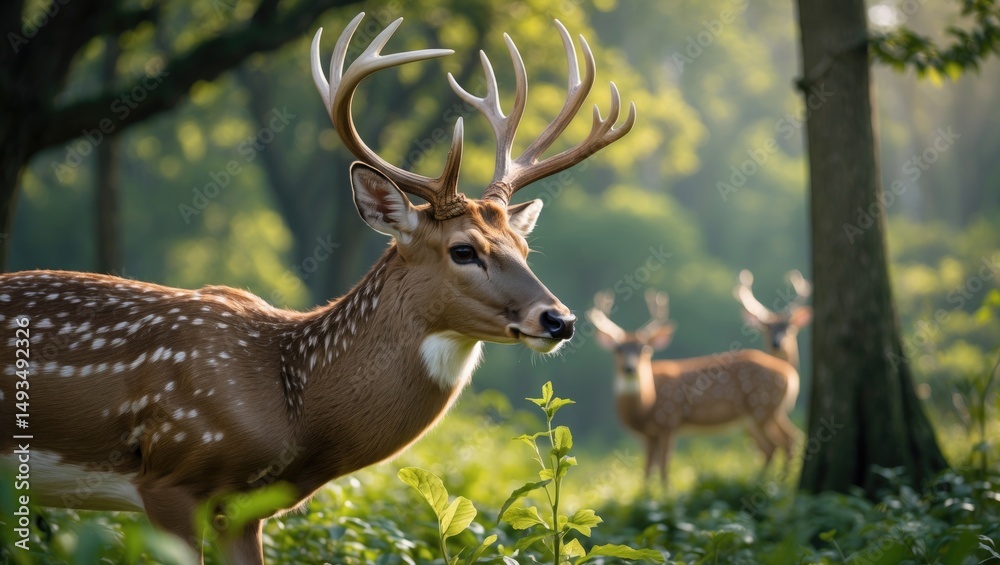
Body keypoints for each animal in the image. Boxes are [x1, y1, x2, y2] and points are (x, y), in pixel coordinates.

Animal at [0, 13, 635, 563]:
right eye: (463, 250)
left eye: (524, 249)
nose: (559, 319)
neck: (293, 414)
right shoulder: (170, 474)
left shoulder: (242, 512)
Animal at [587, 289, 801, 487]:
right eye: (617, 349)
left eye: (644, 349)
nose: (630, 368)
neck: (645, 406)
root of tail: (790, 374)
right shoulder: (648, 434)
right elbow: (648, 469)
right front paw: (645, 495)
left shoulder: (669, 420)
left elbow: (664, 464)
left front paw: (665, 494)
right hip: (762, 413)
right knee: (782, 442)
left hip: (762, 406)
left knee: (783, 443)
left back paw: (771, 482)